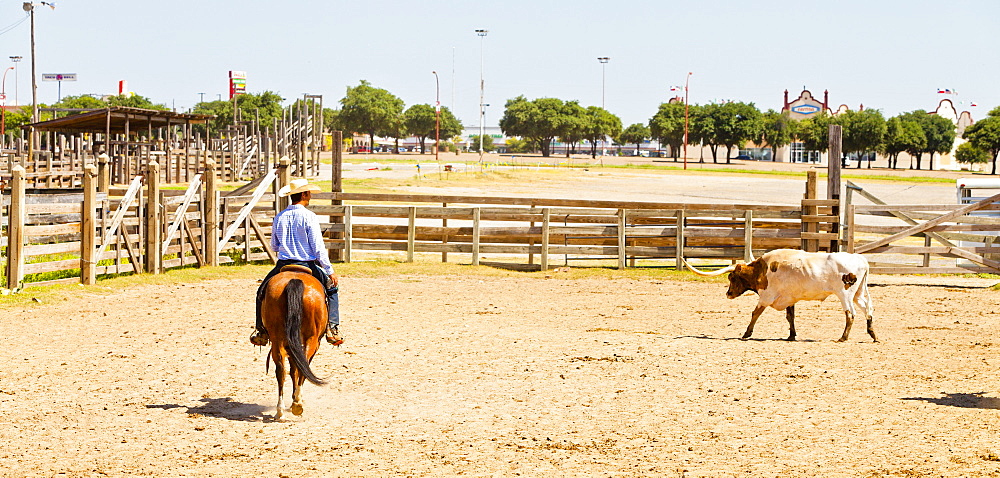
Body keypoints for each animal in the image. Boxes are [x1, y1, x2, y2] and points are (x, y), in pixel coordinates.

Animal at [260, 268, 326, 420]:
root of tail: (295, 280)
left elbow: (293, 369)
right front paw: (296, 398)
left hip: (278, 339)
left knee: (281, 370)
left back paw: (280, 411)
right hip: (312, 339)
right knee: (302, 366)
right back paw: (297, 404)